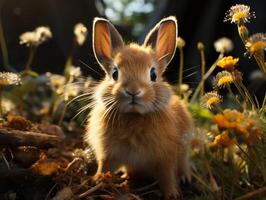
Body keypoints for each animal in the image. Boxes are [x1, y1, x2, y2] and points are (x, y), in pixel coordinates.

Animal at [85, 16, 193, 199]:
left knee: (183, 164)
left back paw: (185, 178)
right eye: (114, 73)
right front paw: (97, 180)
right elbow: (104, 165)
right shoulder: (108, 154)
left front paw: (172, 194)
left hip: (183, 152)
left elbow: (167, 176)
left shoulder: (166, 158)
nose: (133, 91)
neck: (133, 116)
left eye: (153, 74)